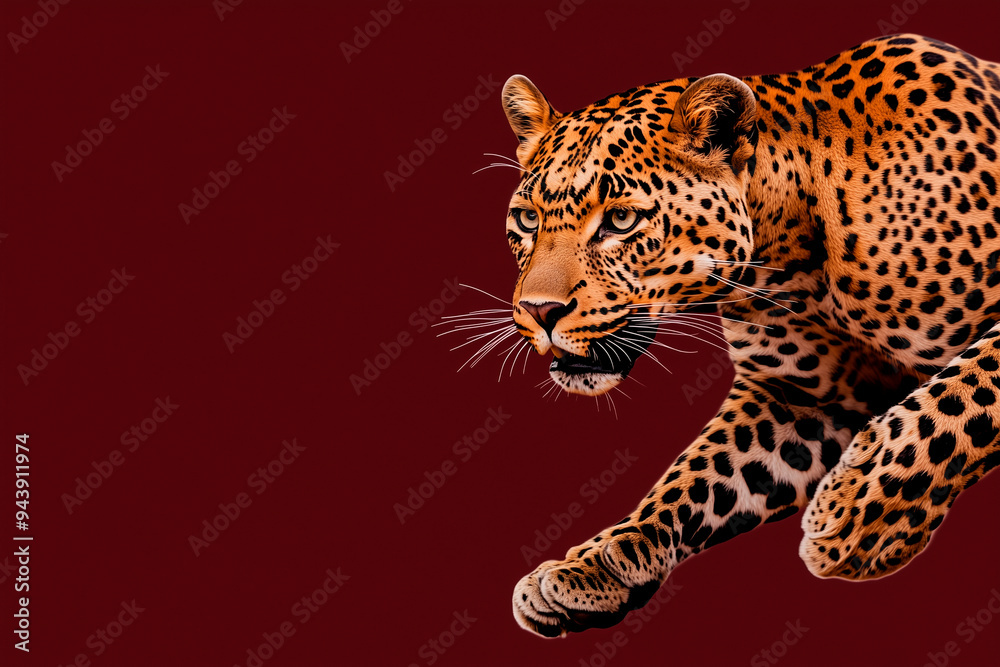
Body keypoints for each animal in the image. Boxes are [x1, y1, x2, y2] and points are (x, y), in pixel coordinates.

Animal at [489, 33, 1000, 638]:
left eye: (620, 221)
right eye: (527, 220)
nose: (538, 311)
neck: (790, 259)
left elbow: (956, 398)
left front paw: (857, 517)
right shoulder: (799, 399)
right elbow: (698, 476)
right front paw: (597, 566)